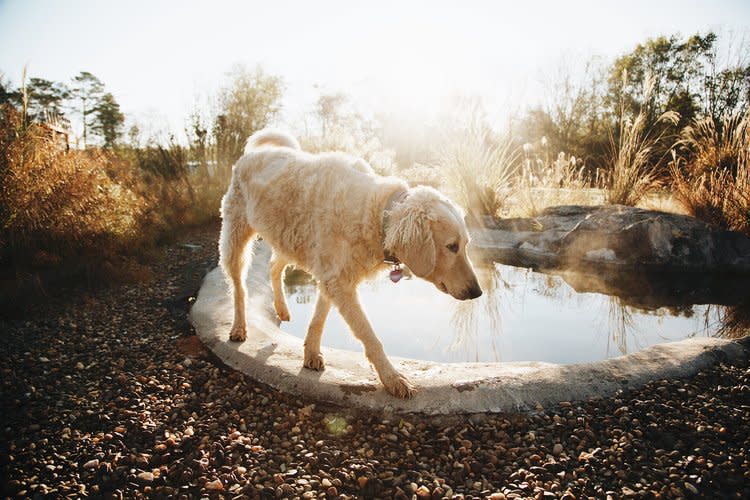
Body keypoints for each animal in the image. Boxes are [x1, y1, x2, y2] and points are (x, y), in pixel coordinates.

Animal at [220, 130, 484, 398]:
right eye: (451, 246)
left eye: (465, 245)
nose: (477, 292)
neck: (373, 212)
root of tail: (253, 154)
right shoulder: (338, 282)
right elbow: (369, 335)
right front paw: (392, 377)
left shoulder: (330, 277)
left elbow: (318, 319)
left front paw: (311, 353)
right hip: (235, 238)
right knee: (239, 288)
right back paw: (239, 327)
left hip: (287, 239)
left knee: (274, 266)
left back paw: (282, 309)